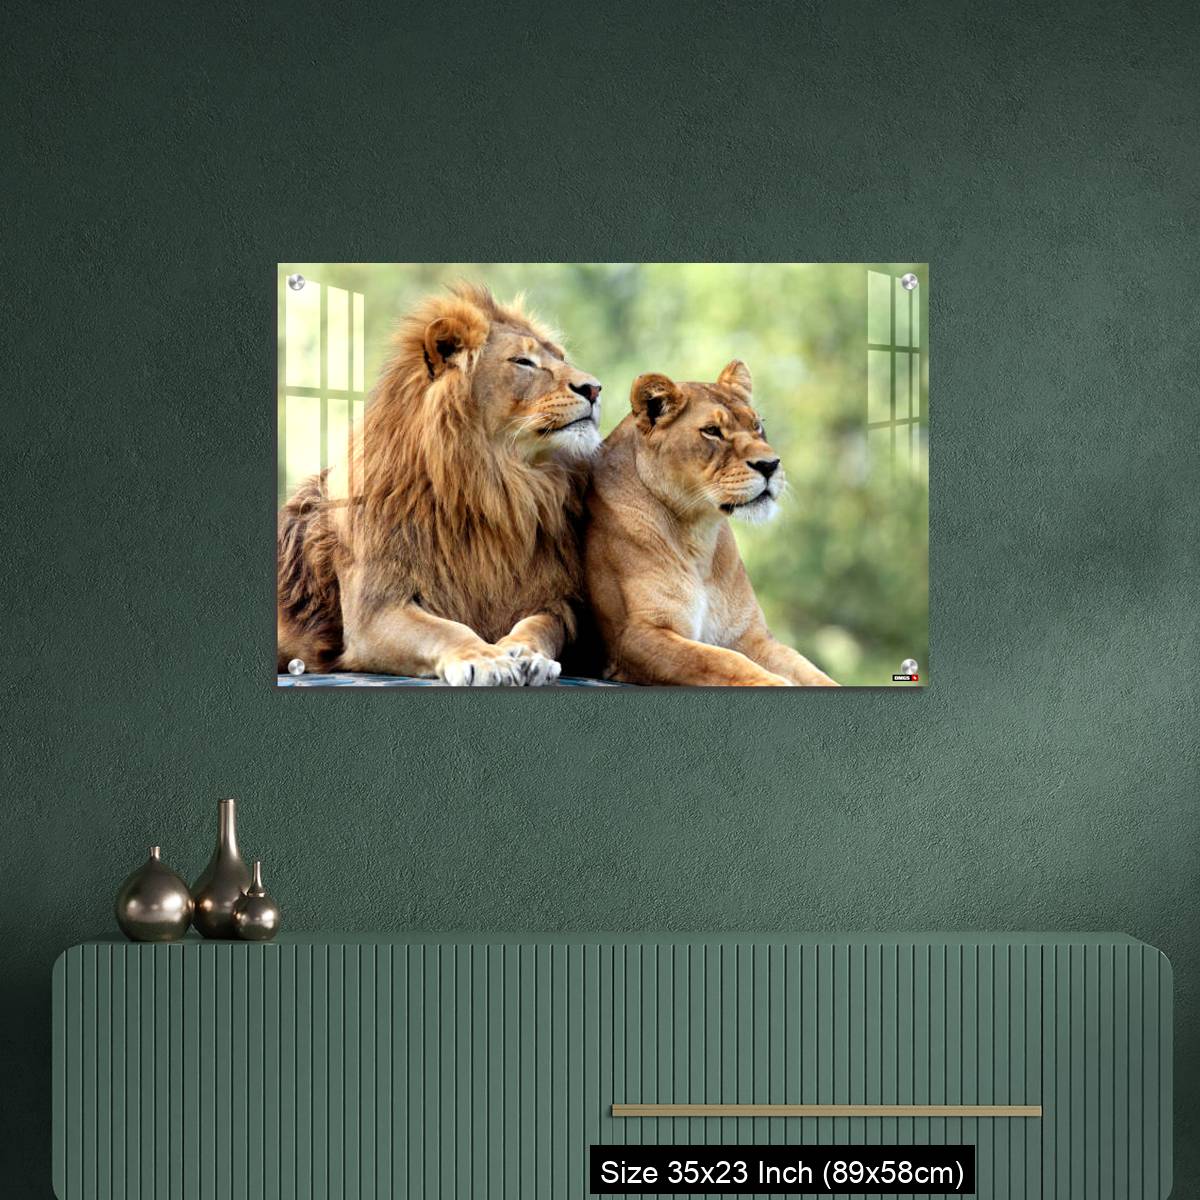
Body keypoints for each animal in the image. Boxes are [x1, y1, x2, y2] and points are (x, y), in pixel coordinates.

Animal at [278, 284, 602, 685]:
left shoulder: (554, 600)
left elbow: (540, 625)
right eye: (523, 362)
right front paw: (487, 658)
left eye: (561, 357)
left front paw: (527, 653)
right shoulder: (374, 612)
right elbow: (446, 629)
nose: (595, 389)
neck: (497, 488)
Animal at [583, 360, 838, 686]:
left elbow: (808, 669)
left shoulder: (750, 635)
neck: (698, 535)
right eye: (712, 431)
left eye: (757, 426)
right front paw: (774, 683)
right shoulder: (634, 637)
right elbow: (720, 660)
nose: (770, 465)